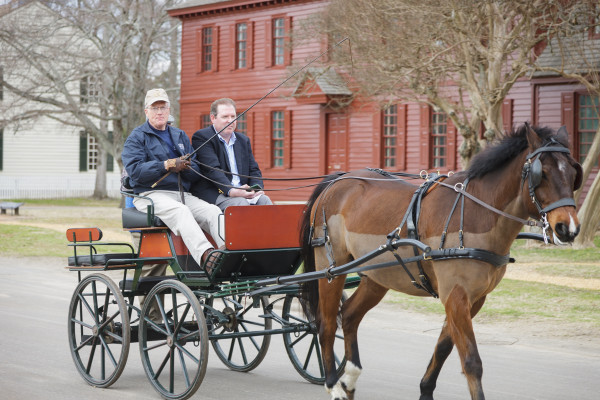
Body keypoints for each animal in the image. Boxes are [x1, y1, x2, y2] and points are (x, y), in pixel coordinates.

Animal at [298, 123, 580, 398]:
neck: (477, 211)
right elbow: (471, 362)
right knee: (325, 324)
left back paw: (350, 377)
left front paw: (425, 390)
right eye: (542, 173)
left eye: (573, 173)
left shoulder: (474, 299)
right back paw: (333, 384)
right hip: (331, 269)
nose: (568, 227)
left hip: (377, 276)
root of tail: (337, 181)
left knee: (348, 316)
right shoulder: (456, 295)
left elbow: (444, 347)